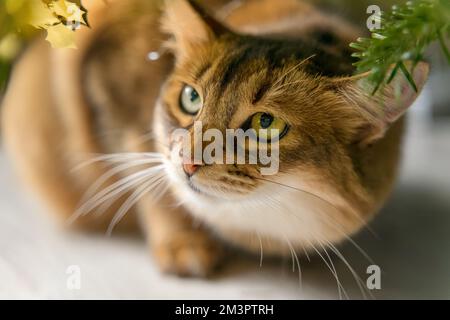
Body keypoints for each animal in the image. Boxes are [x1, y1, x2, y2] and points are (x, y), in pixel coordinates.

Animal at [1, 0, 428, 276]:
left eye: (266, 123)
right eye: (191, 99)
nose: (188, 162)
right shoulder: (109, 83)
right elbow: (151, 183)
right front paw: (183, 245)